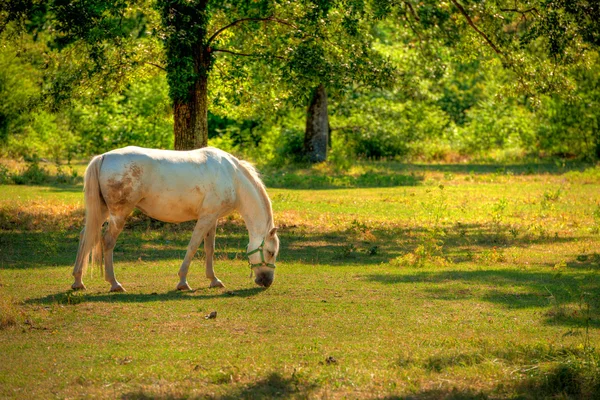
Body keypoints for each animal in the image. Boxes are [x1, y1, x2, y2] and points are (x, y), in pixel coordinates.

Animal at [72, 145, 278, 292]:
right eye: (271, 252)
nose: (267, 282)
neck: (232, 176)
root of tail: (103, 157)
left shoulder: (212, 218)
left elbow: (209, 249)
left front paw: (213, 280)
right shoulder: (205, 218)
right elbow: (193, 247)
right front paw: (183, 282)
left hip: (102, 211)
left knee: (85, 237)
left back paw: (78, 280)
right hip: (119, 214)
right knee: (107, 241)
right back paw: (114, 283)